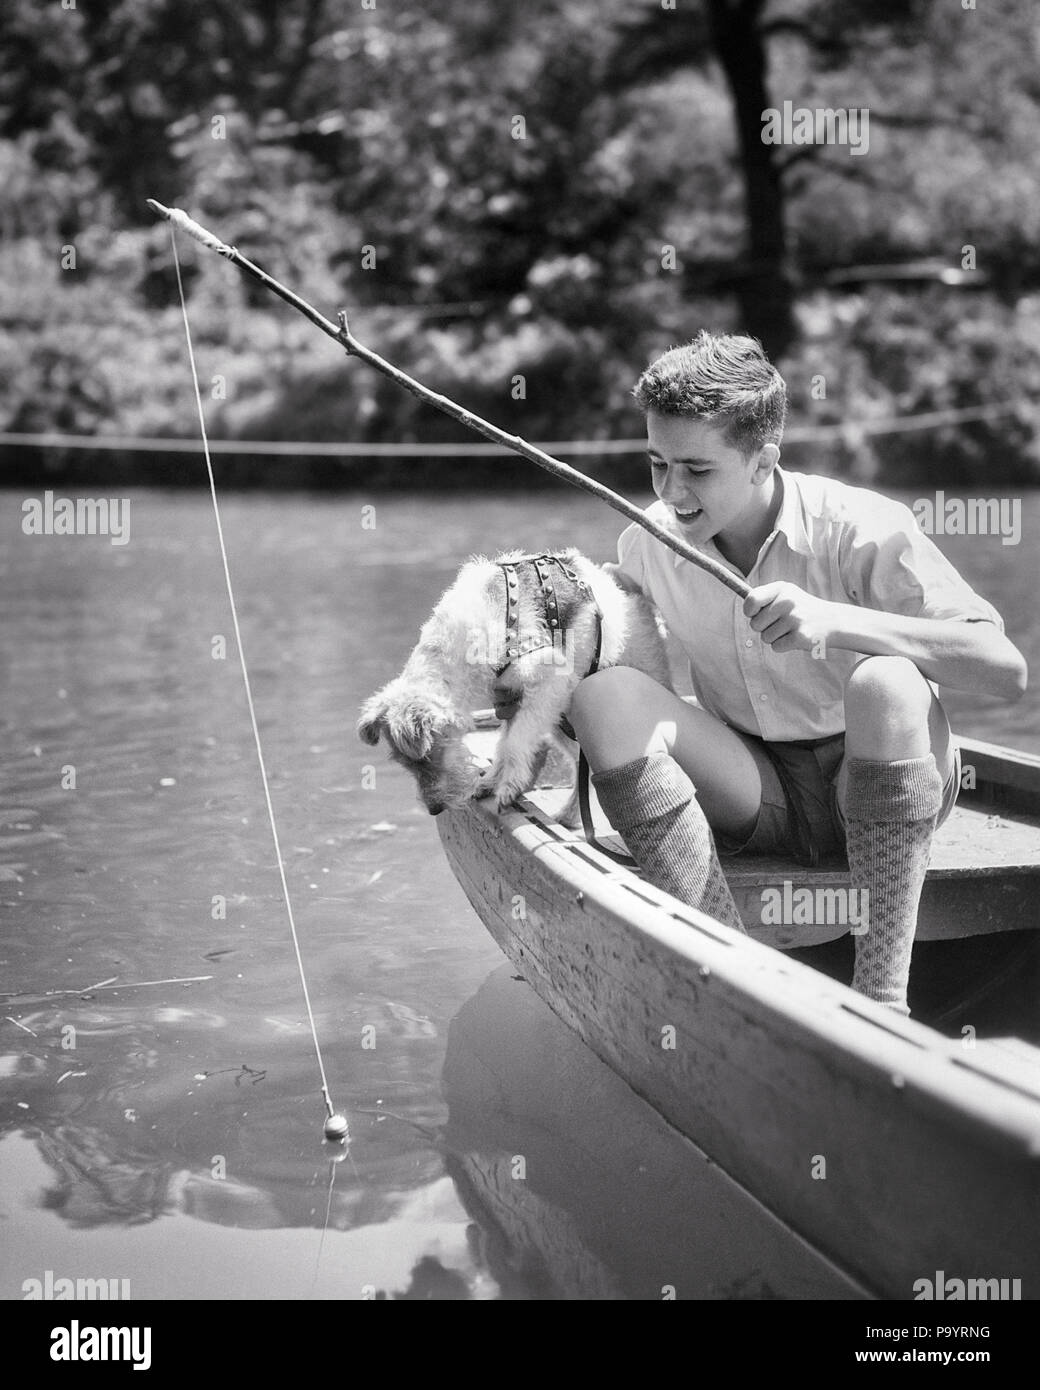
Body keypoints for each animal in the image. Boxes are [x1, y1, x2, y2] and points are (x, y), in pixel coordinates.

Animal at [353, 544, 670, 822]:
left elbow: (514, 743)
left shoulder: (547, 678)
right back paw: (568, 817)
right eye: (403, 763)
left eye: (430, 755)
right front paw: (491, 781)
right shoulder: (510, 697)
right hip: (560, 716)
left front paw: (507, 787)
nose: (434, 809)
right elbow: (505, 742)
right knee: (583, 766)